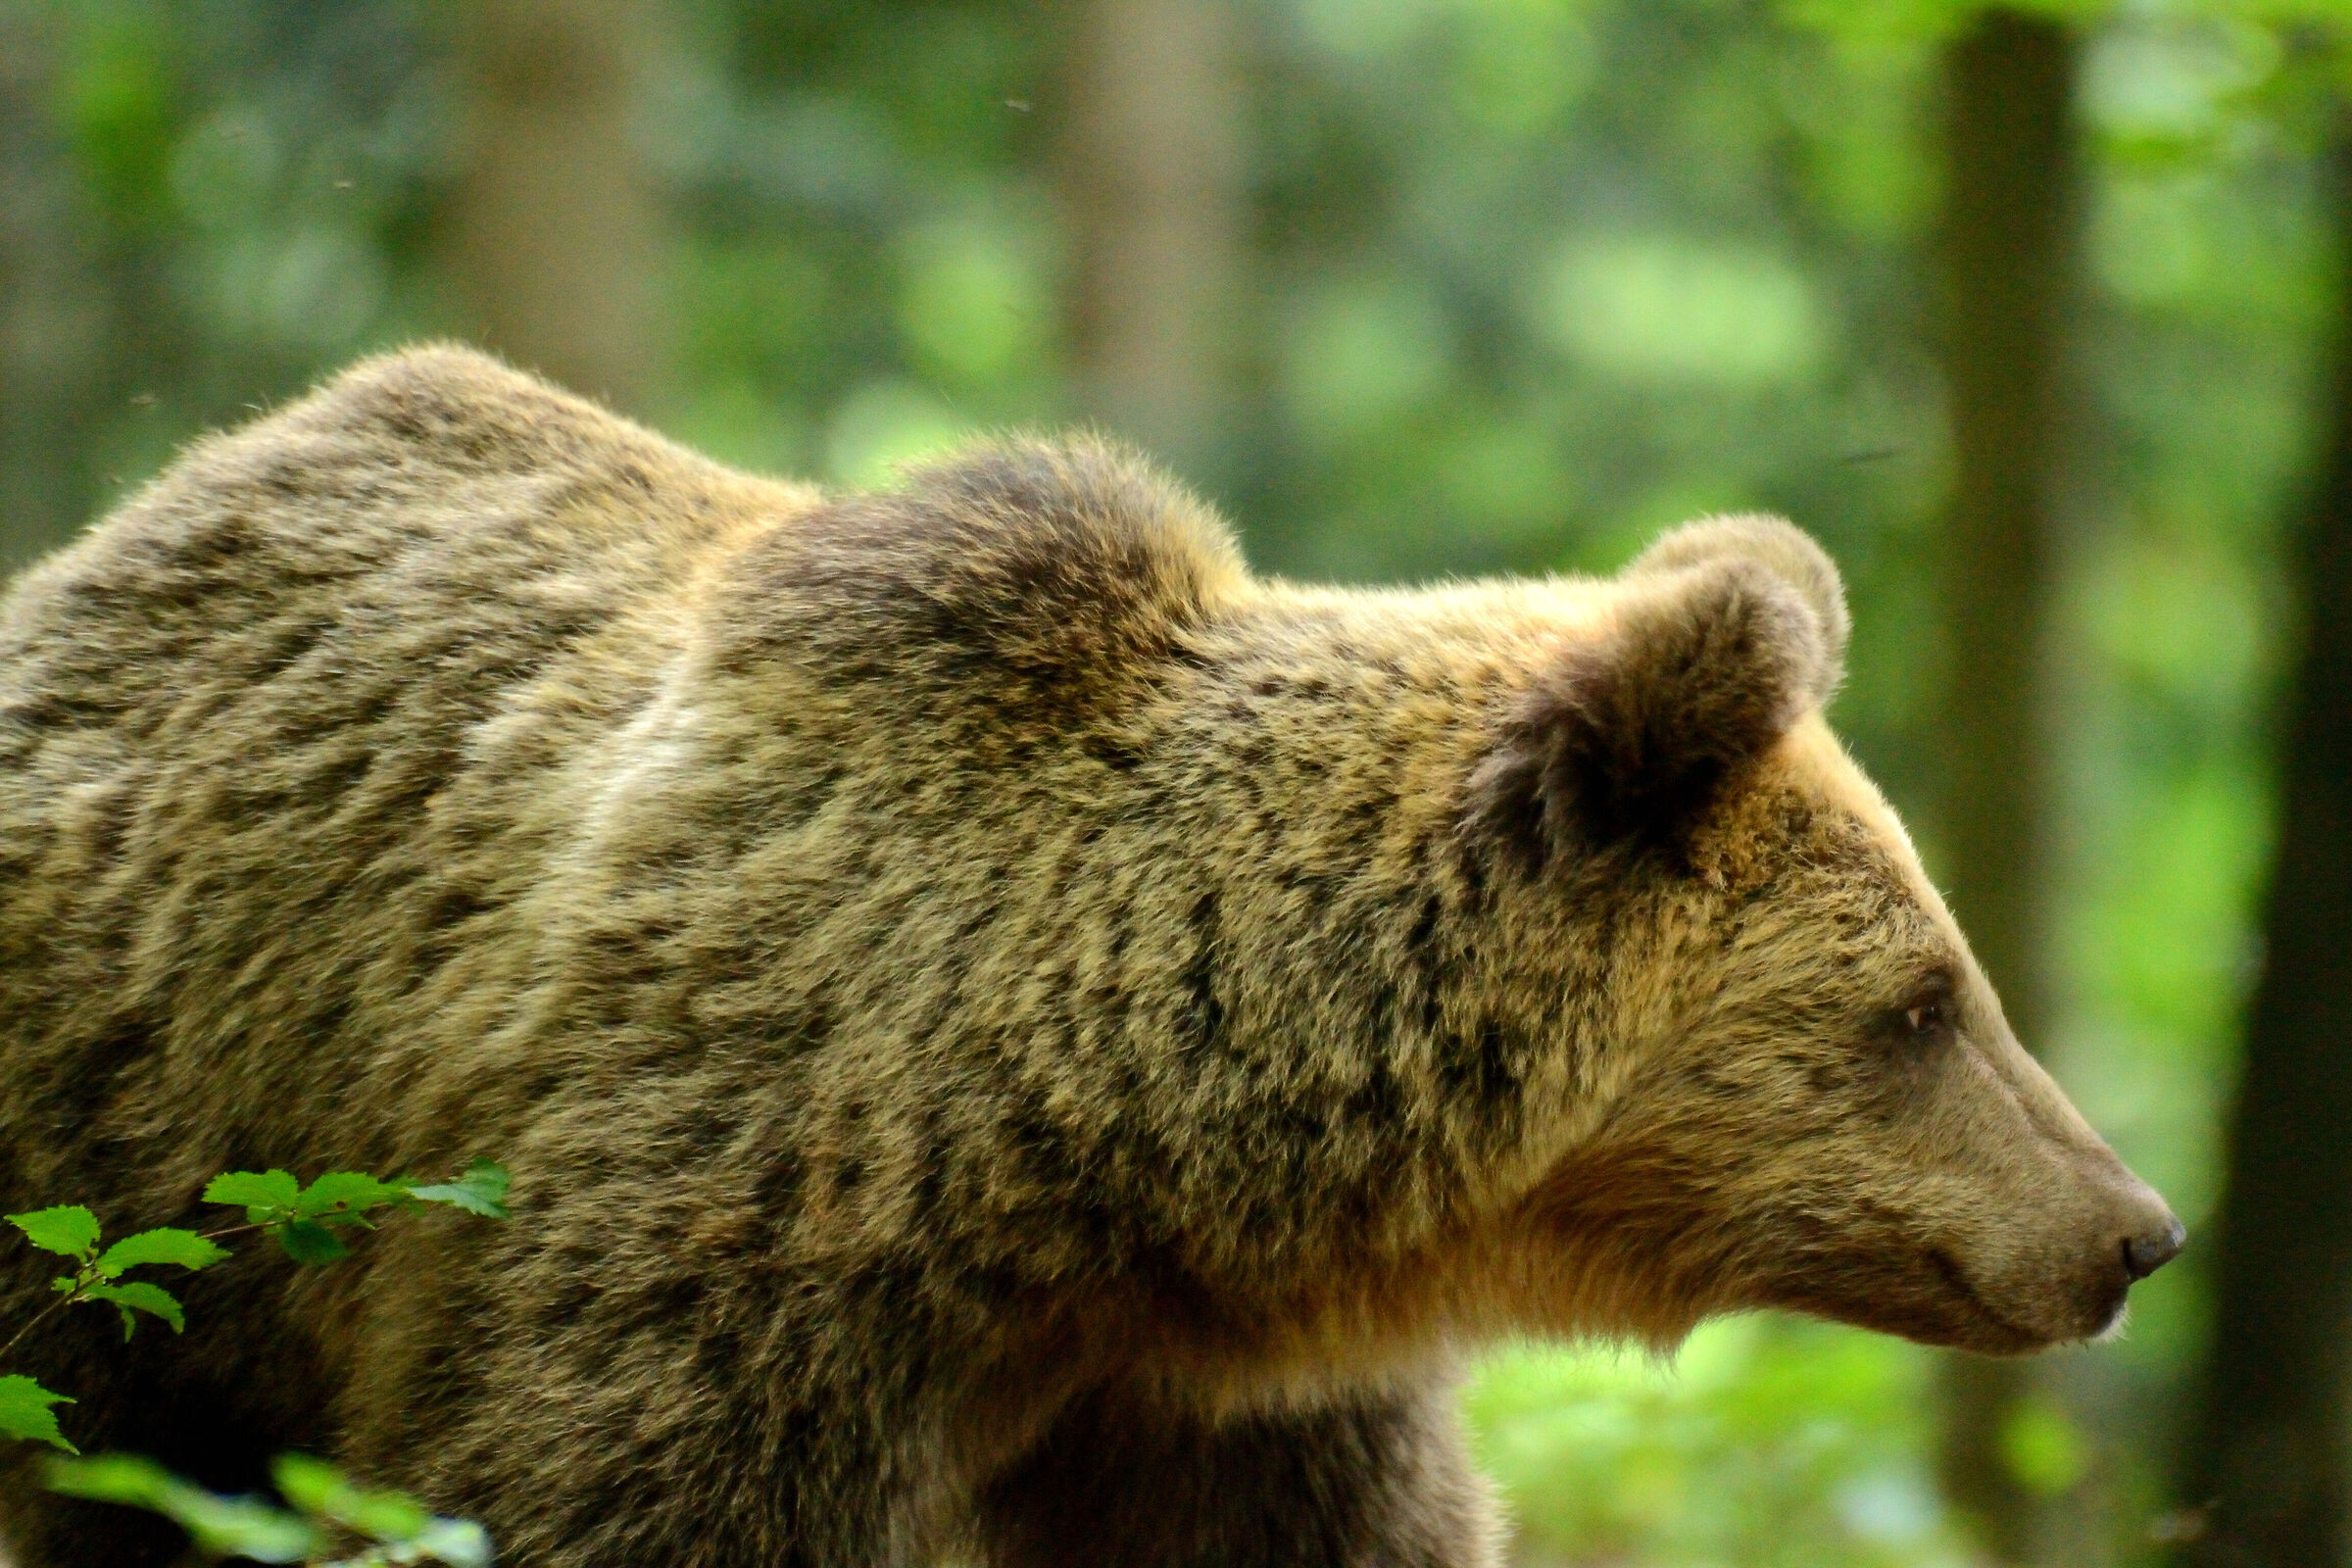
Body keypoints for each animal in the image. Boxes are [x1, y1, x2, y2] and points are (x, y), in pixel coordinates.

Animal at [0, 346, 2181, 1567]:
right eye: (1921, 1003)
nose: (2135, 1228)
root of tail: (107, 538)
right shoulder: (697, 1246)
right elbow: (595, 1494)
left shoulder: (1224, 1406)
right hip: (136, 1173)